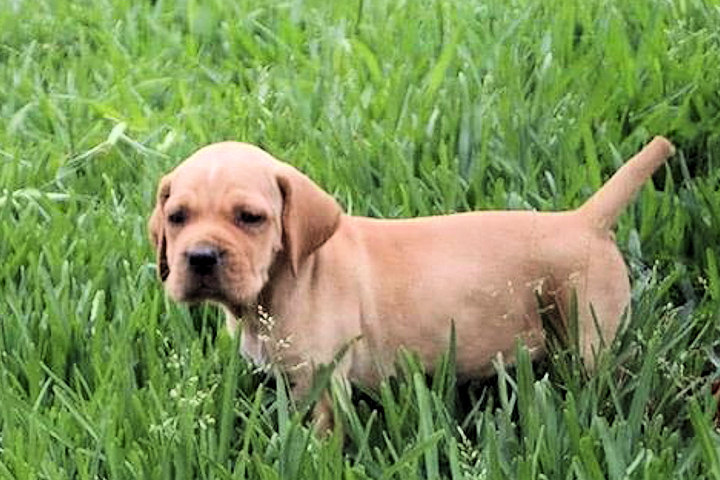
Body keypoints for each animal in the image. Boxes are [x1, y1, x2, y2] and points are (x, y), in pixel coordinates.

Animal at [149, 137, 675, 429]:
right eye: (177, 218)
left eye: (250, 218)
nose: (200, 257)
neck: (284, 281)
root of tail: (585, 220)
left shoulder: (325, 378)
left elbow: (322, 433)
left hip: (591, 337)